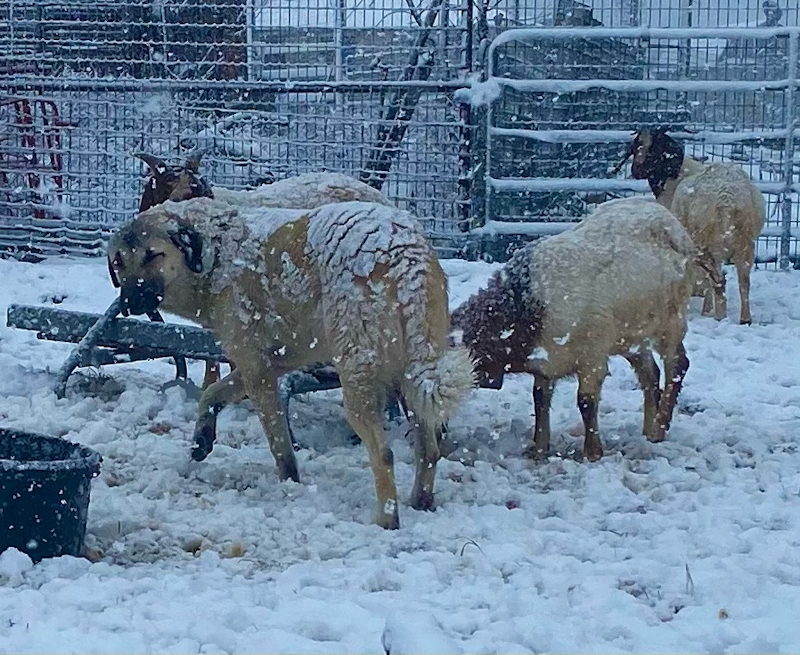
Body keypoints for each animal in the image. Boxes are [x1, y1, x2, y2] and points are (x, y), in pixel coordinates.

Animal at [109, 199, 478, 528]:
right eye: (118, 263)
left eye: (153, 255)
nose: (128, 303)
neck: (216, 256)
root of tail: (406, 254)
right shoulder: (274, 361)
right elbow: (212, 393)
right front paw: (201, 440)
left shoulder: (257, 369)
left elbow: (278, 443)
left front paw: (290, 483)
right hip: (410, 379)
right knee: (429, 448)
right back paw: (421, 502)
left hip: (359, 381)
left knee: (384, 453)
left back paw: (387, 520)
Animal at [454, 199, 696, 462]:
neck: (527, 306)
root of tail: (674, 224)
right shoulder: (546, 362)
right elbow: (539, 398)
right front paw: (539, 449)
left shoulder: (592, 356)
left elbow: (586, 401)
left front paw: (592, 452)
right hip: (631, 335)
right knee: (650, 373)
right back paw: (647, 429)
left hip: (670, 322)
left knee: (677, 365)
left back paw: (658, 429)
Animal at [620, 127, 764, 324]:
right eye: (636, 146)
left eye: (652, 148)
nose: (636, 171)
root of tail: (728, 199)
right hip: (745, 243)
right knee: (743, 281)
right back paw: (745, 319)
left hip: (712, 243)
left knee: (718, 280)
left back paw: (719, 316)